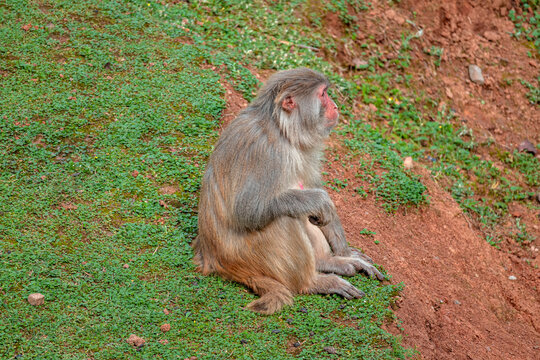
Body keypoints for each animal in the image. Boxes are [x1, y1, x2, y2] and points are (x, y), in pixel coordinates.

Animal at [193, 67, 384, 316]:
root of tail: (214, 259)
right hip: (247, 256)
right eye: (323, 94)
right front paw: (322, 201)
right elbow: (246, 211)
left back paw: (326, 262)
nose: (335, 106)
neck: (283, 130)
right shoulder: (265, 151)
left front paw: (345, 253)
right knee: (284, 216)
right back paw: (312, 282)